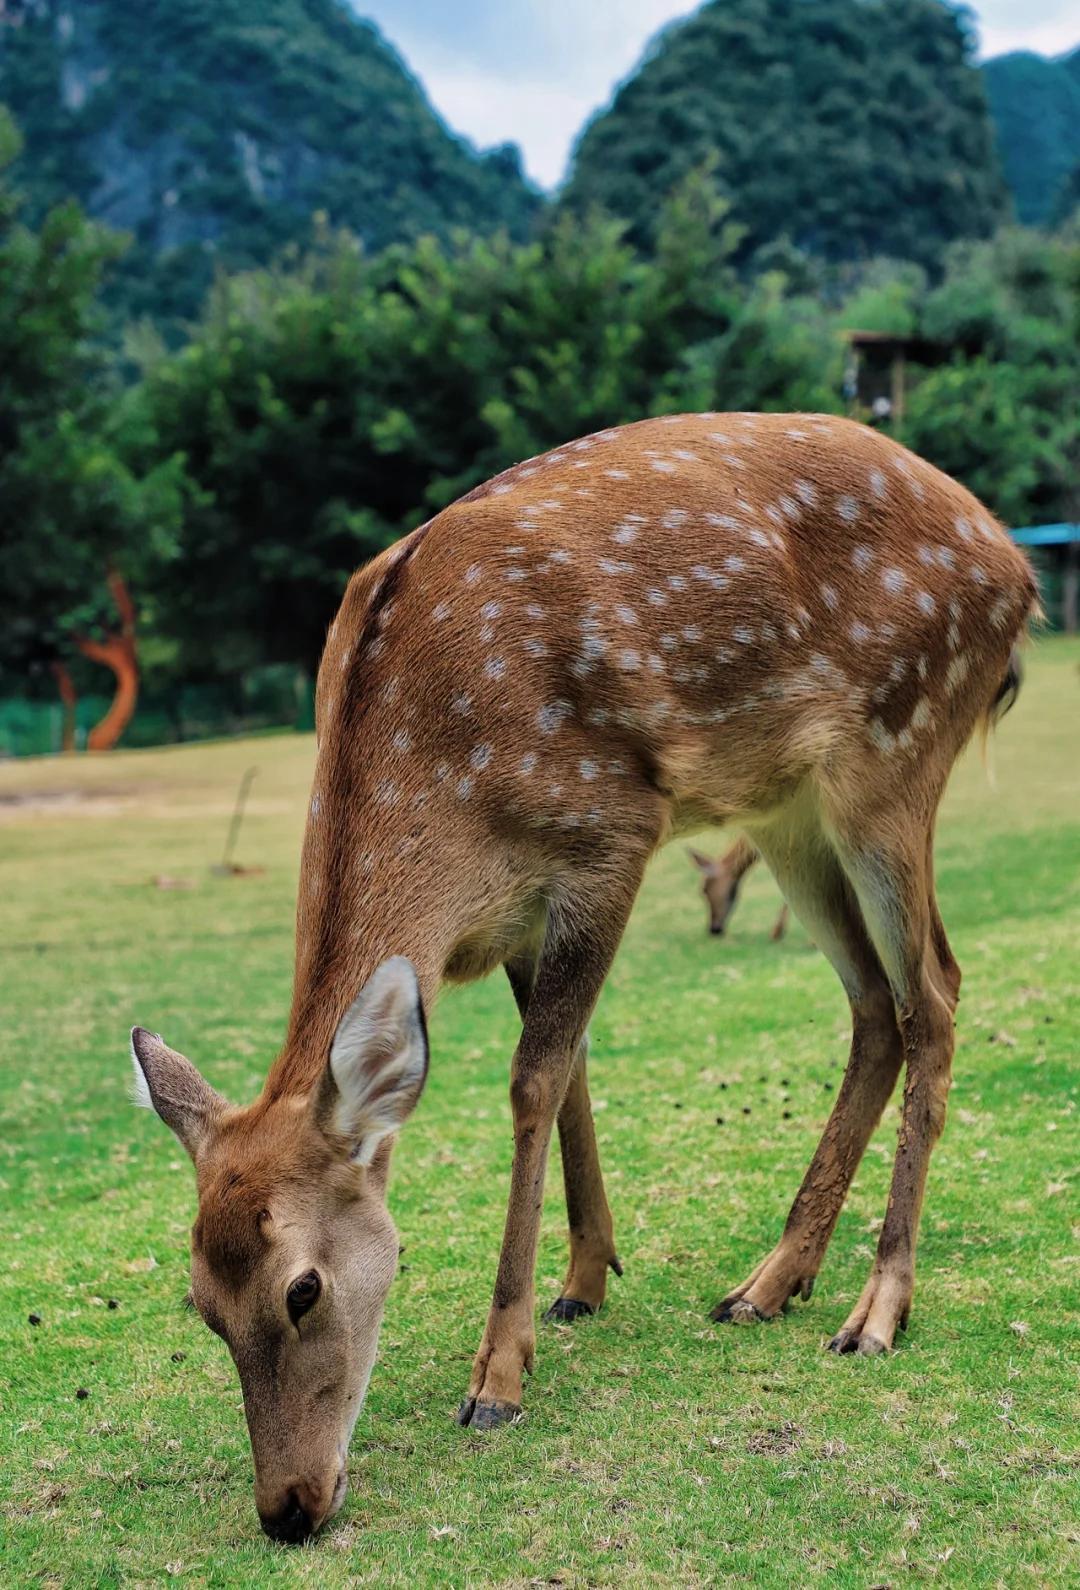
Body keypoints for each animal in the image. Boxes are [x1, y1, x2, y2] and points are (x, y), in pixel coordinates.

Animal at [129, 412, 1036, 1543]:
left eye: (303, 1289)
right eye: (202, 1304)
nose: (289, 1507)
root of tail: (1017, 567)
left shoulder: (610, 833)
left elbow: (531, 1082)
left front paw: (498, 1377)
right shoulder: (523, 911)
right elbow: (572, 1075)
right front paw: (585, 1278)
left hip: (895, 752)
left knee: (935, 994)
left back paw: (877, 1308)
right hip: (785, 803)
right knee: (873, 1003)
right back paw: (770, 1281)